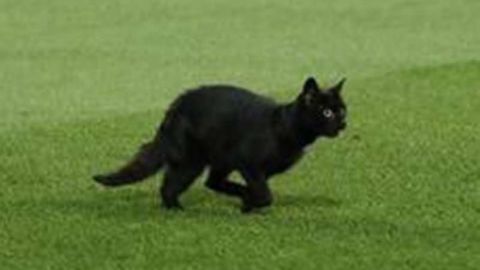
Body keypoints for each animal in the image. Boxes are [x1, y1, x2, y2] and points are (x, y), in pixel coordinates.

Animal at [94, 76, 346, 213]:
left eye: (342, 110)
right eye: (326, 112)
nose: (343, 123)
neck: (283, 125)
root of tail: (173, 108)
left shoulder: (258, 170)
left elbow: (258, 189)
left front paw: (247, 205)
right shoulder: (249, 164)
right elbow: (265, 194)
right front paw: (250, 203)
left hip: (215, 159)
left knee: (206, 182)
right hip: (192, 161)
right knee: (174, 186)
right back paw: (178, 210)